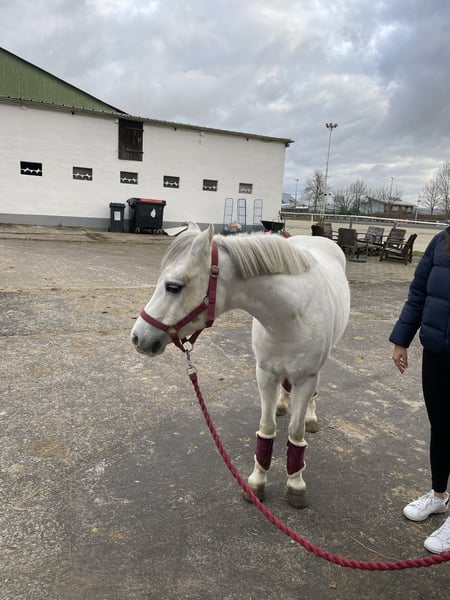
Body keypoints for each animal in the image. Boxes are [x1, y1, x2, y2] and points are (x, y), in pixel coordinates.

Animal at [131, 223, 350, 508]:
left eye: (173, 287)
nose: (138, 338)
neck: (291, 315)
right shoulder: (265, 374)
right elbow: (267, 429)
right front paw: (257, 483)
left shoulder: (306, 378)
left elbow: (296, 432)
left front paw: (295, 484)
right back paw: (282, 404)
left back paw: (311, 416)